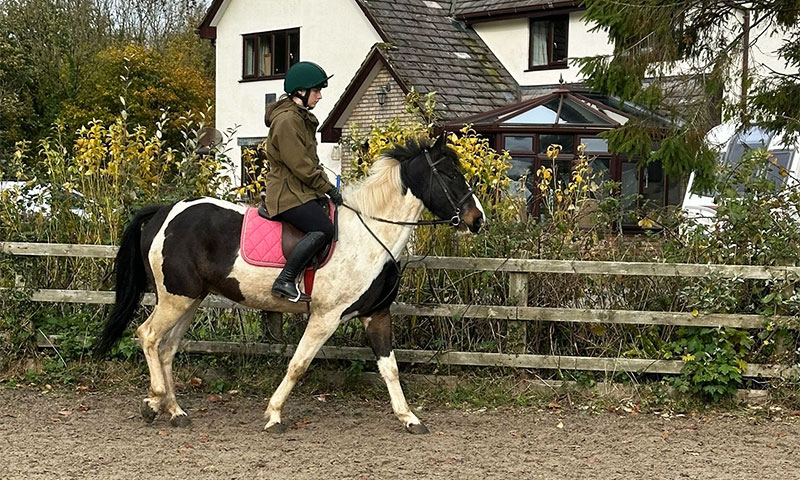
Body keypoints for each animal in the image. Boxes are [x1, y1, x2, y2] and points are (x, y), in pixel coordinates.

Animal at [94, 135, 485, 434]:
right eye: (450, 174)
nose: (477, 219)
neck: (370, 233)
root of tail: (164, 211)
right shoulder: (326, 316)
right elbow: (298, 364)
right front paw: (274, 415)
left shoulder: (376, 314)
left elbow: (390, 368)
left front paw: (409, 419)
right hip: (176, 297)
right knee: (148, 336)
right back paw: (155, 401)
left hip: (189, 300)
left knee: (167, 348)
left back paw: (174, 411)